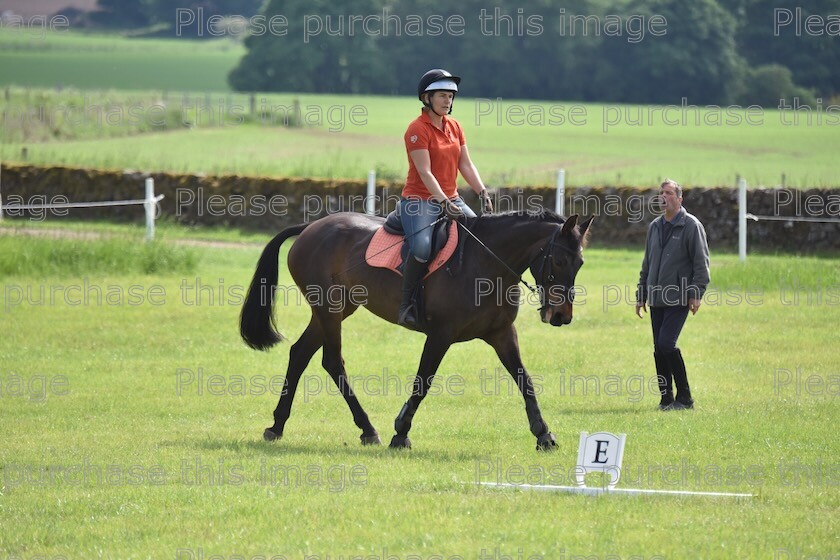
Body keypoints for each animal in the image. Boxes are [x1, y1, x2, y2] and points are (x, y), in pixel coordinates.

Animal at [240, 210, 592, 450]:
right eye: (559, 261)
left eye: (580, 264)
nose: (561, 315)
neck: (486, 264)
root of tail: (312, 226)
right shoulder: (441, 335)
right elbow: (423, 382)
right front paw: (401, 431)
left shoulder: (502, 334)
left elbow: (525, 381)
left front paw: (543, 434)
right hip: (329, 307)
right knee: (332, 361)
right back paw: (368, 428)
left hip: (337, 308)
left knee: (301, 353)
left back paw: (278, 425)